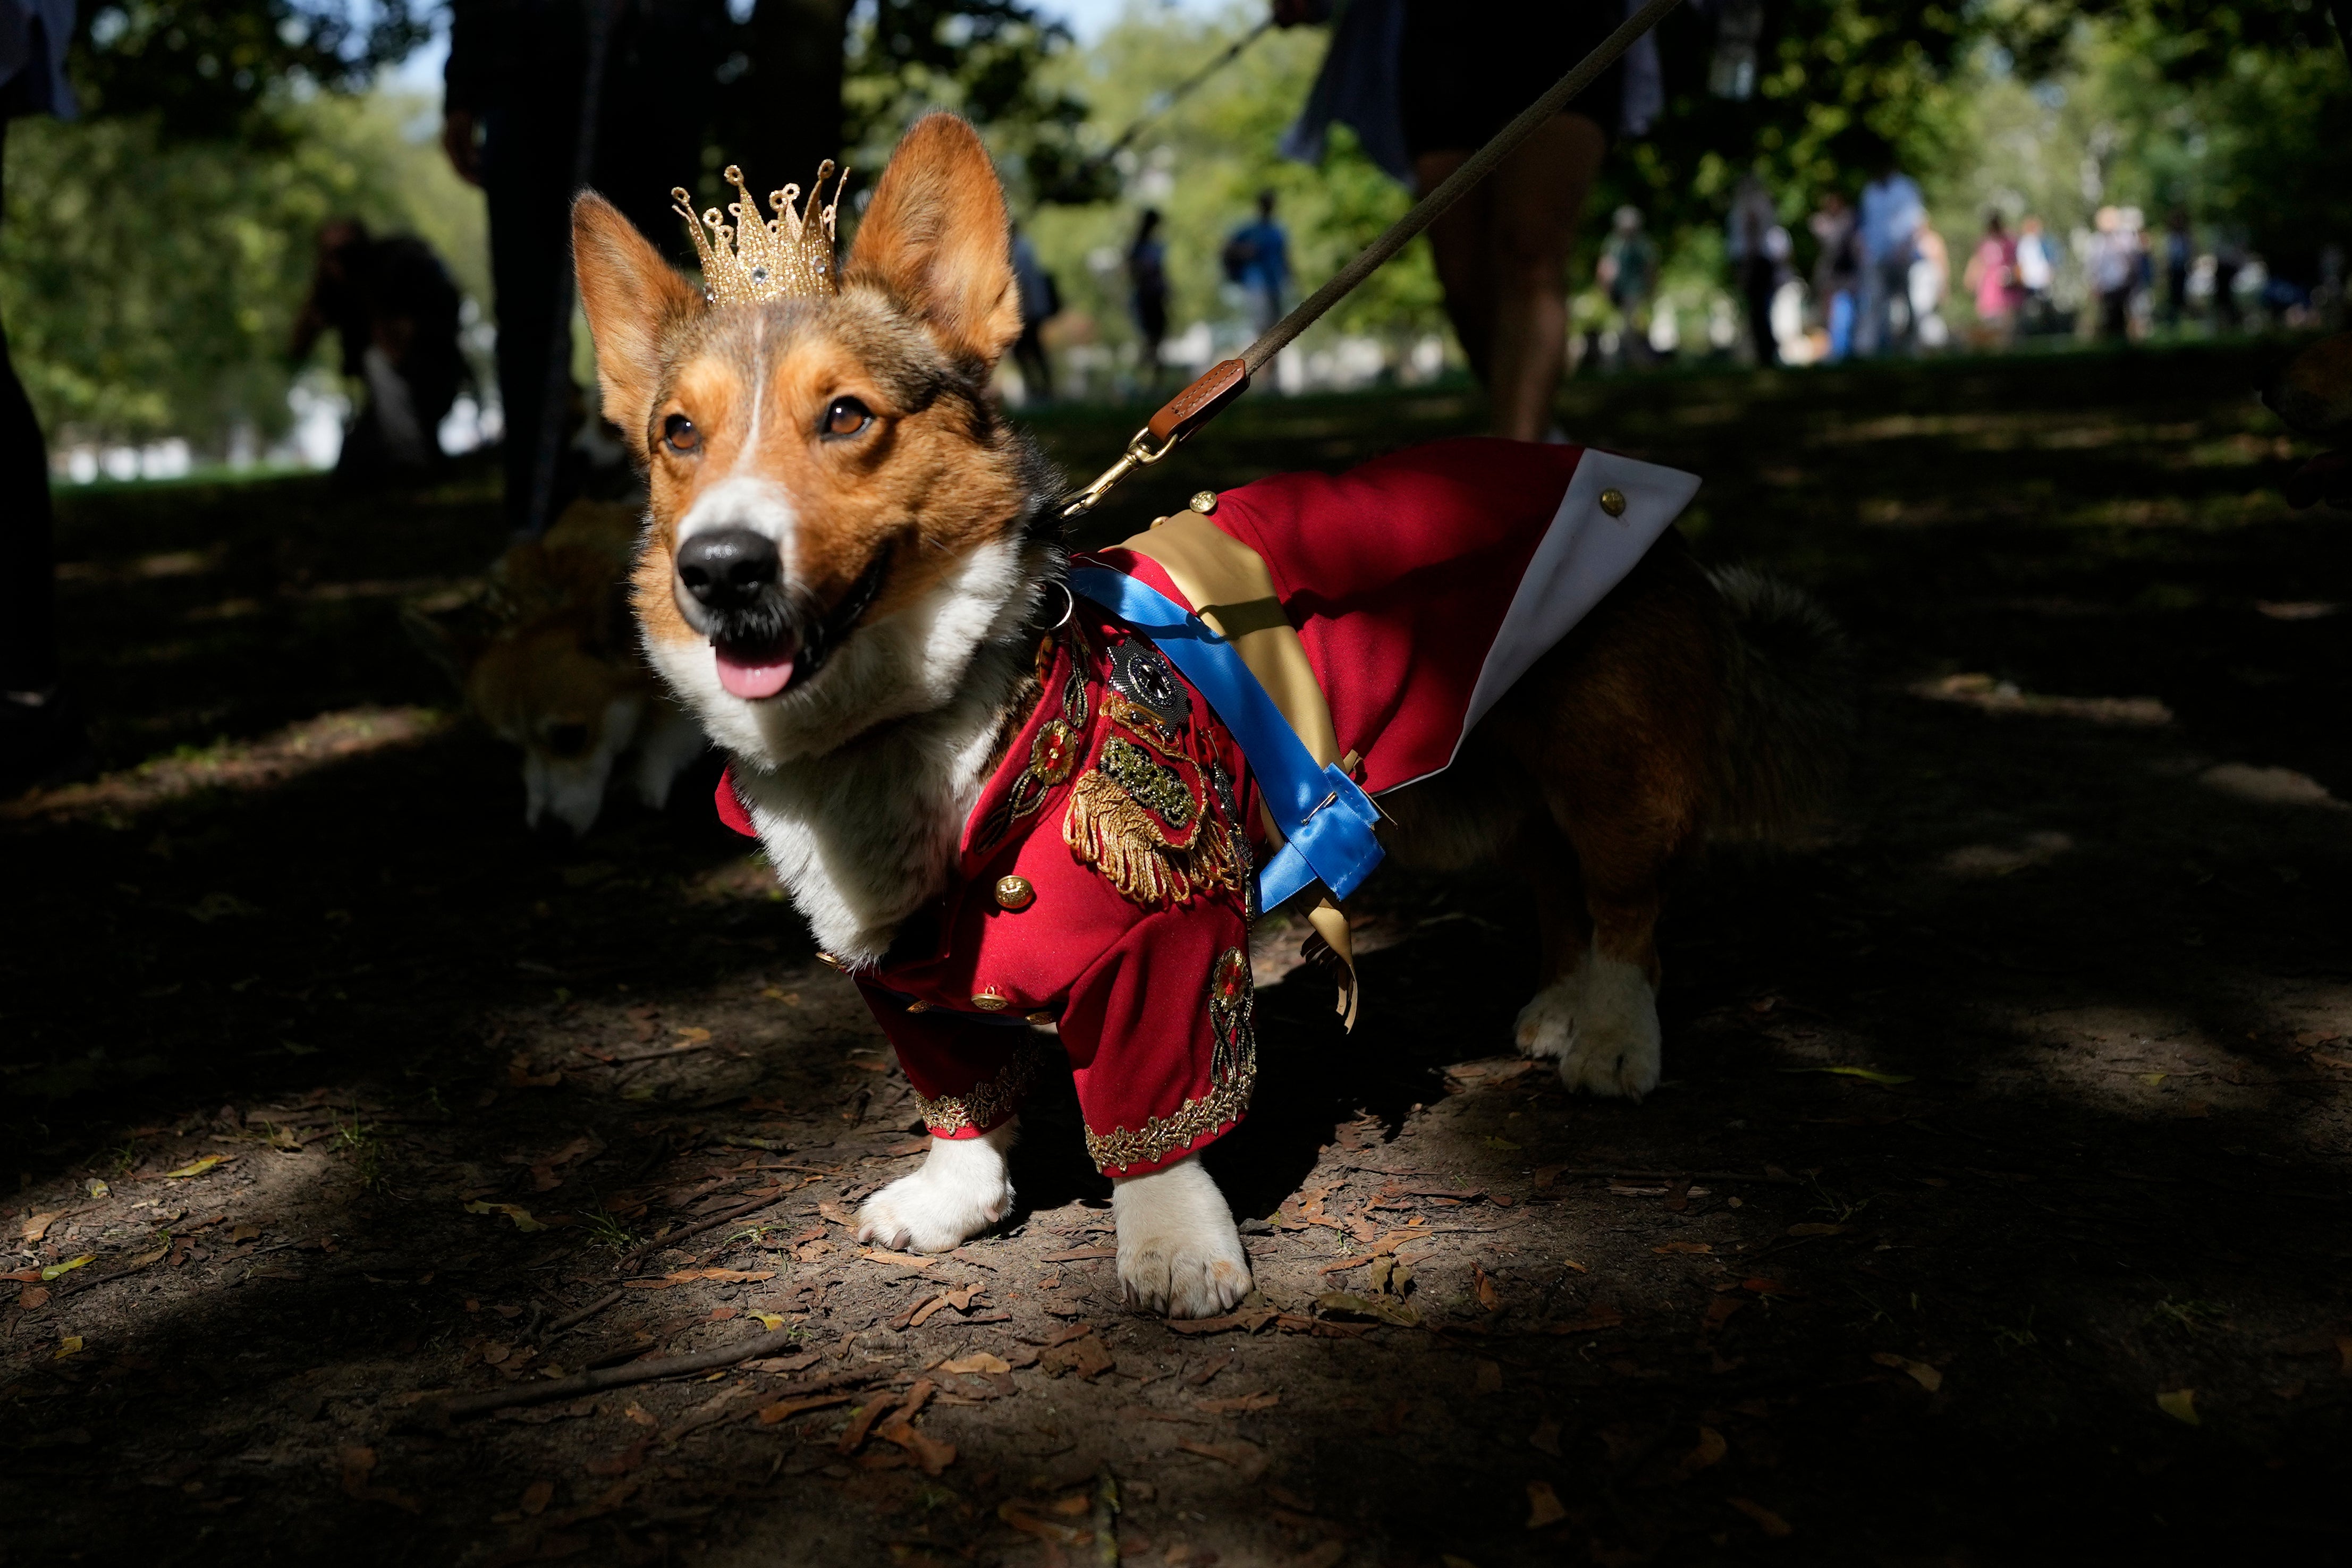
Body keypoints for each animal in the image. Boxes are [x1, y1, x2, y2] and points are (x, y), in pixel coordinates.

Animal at [573, 113, 1853, 1316]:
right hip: (1506, 766)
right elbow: (958, 1103)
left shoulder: (1167, 944)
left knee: (1629, 904)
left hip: (1609, 767)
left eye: (844, 416)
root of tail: (1640, 498)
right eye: (676, 434)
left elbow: (1155, 1119)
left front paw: (1176, 1251)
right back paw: (1555, 1007)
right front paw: (950, 1200)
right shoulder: (901, 986)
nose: (717, 570)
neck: (909, 724)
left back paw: (1611, 1037)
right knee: (1552, 880)